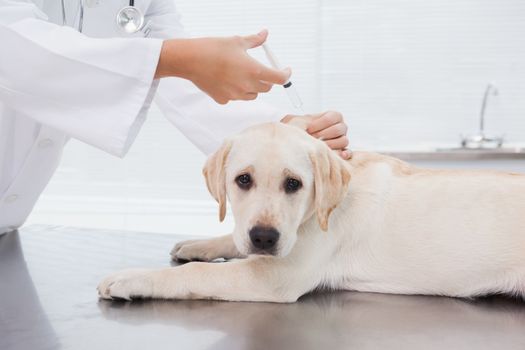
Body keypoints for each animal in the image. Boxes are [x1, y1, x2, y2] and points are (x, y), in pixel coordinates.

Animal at [98, 122, 524, 300]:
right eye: (242, 180)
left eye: (294, 184)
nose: (264, 238)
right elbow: (232, 240)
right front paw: (199, 244)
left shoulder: (274, 276)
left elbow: (198, 275)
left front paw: (131, 278)